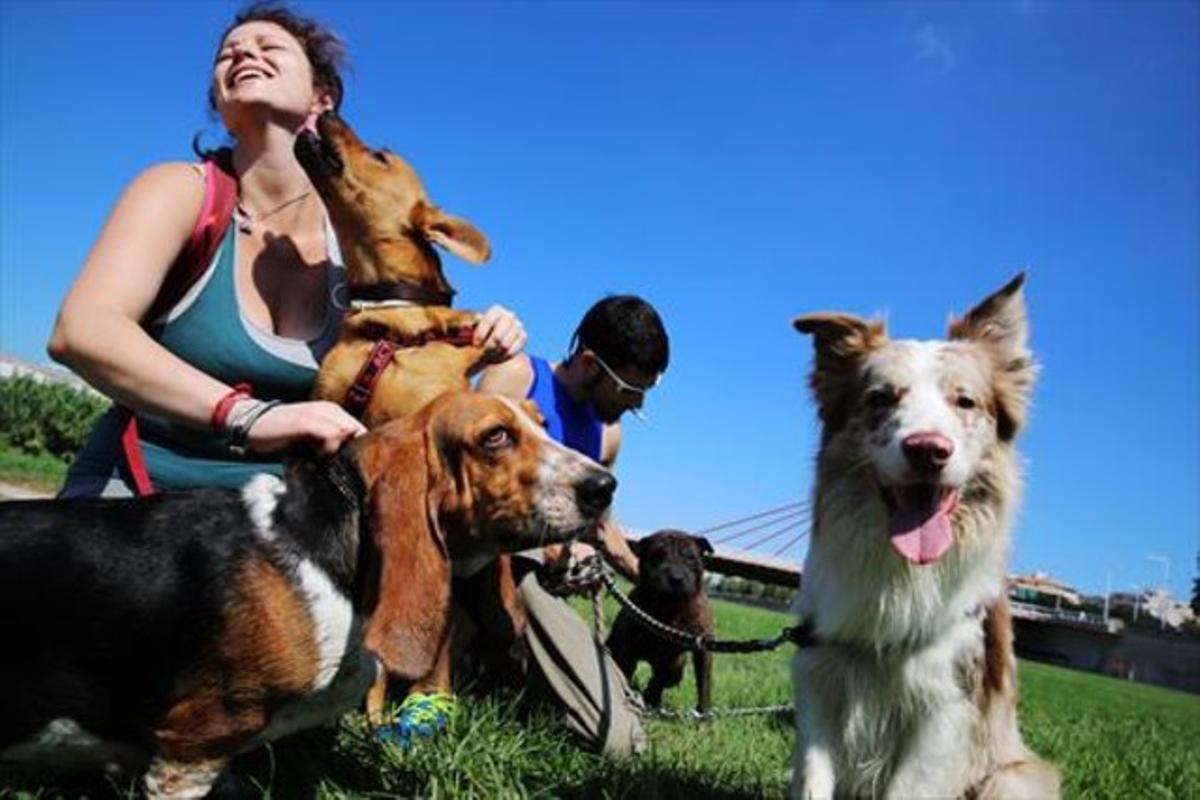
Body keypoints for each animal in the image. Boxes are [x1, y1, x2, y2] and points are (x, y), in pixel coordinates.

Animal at [609, 532, 710, 714]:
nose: (676, 577)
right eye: (658, 555)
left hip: (677, 662)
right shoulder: (626, 641)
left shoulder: (702, 646)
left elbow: (703, 682)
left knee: (668, 675)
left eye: (690, 558)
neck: (670, 606)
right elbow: (624, 666)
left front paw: (704, 713)